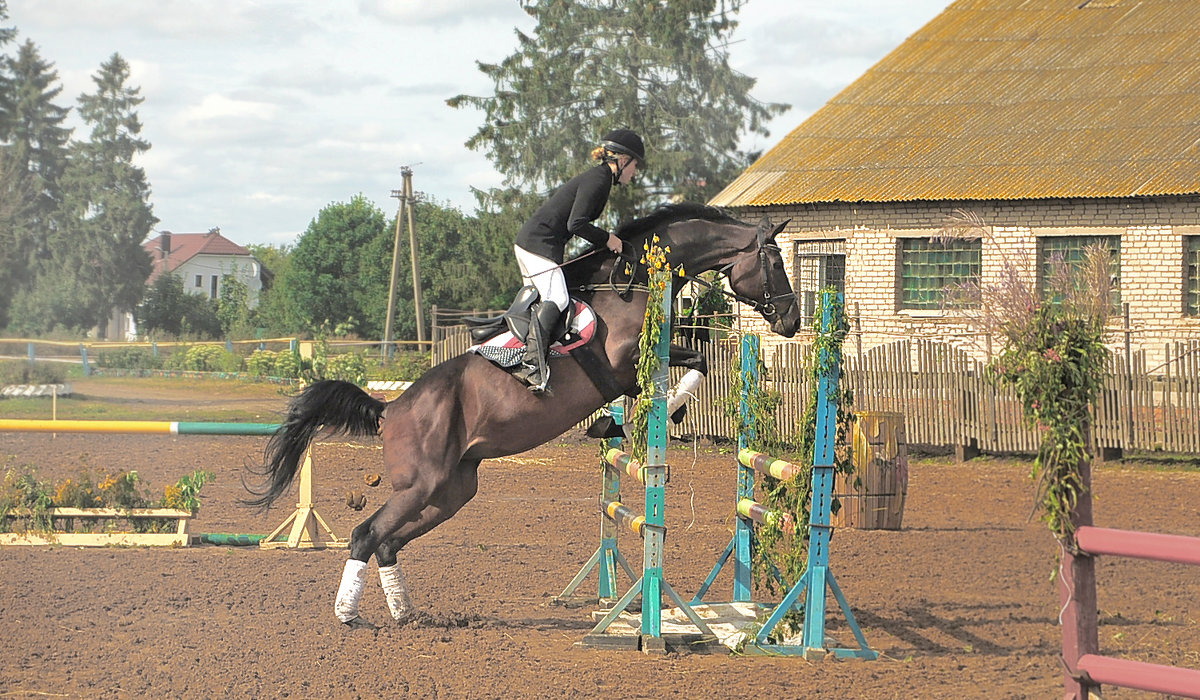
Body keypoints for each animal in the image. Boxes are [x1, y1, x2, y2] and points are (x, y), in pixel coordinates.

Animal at [244, 204, 801, 629]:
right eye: (776, 263)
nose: (792, 321)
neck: (634, 281)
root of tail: (391, 407)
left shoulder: (635, 370)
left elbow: (692, 364)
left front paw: (620, 423)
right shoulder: (626, 363)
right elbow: (694, 362)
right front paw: (669, 410)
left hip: (452, 490)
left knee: (388, 541)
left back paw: (404, 613)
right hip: (422, 485)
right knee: (366, 534)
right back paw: (349, 615)